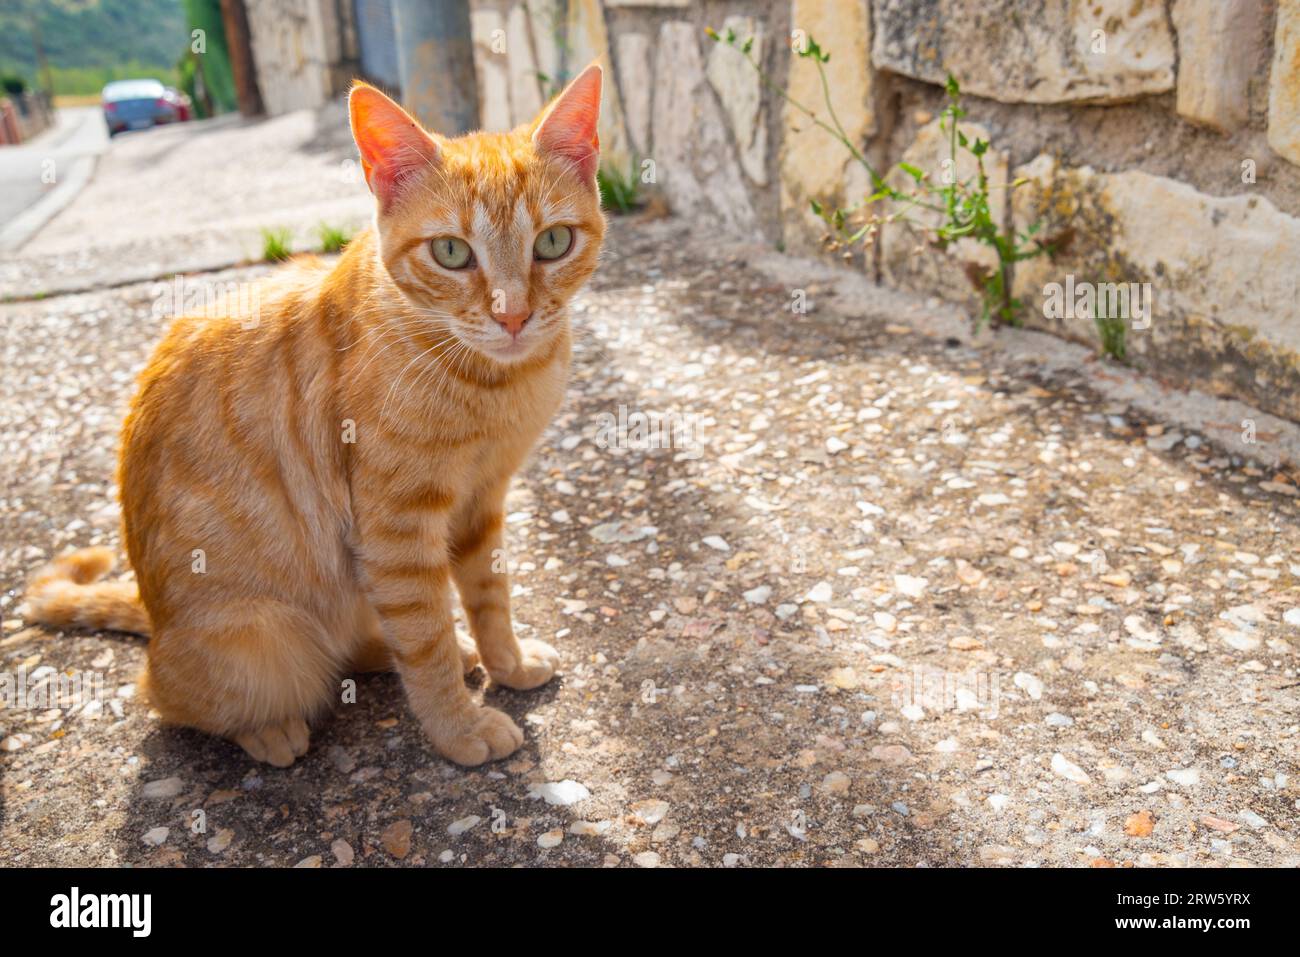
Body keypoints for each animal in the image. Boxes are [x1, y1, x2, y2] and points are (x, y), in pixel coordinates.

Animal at [25, 63, 603, 764]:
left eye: (553, 242)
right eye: (452, 253)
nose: (513, 316)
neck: (494, 382)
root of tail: (154, 617)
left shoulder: (480, 502)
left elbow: (489, 597)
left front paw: (508, 664)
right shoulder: (397, 530)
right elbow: (427, 637)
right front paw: (458, 729)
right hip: (265, 639)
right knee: (164, 696)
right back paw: (268, 729)